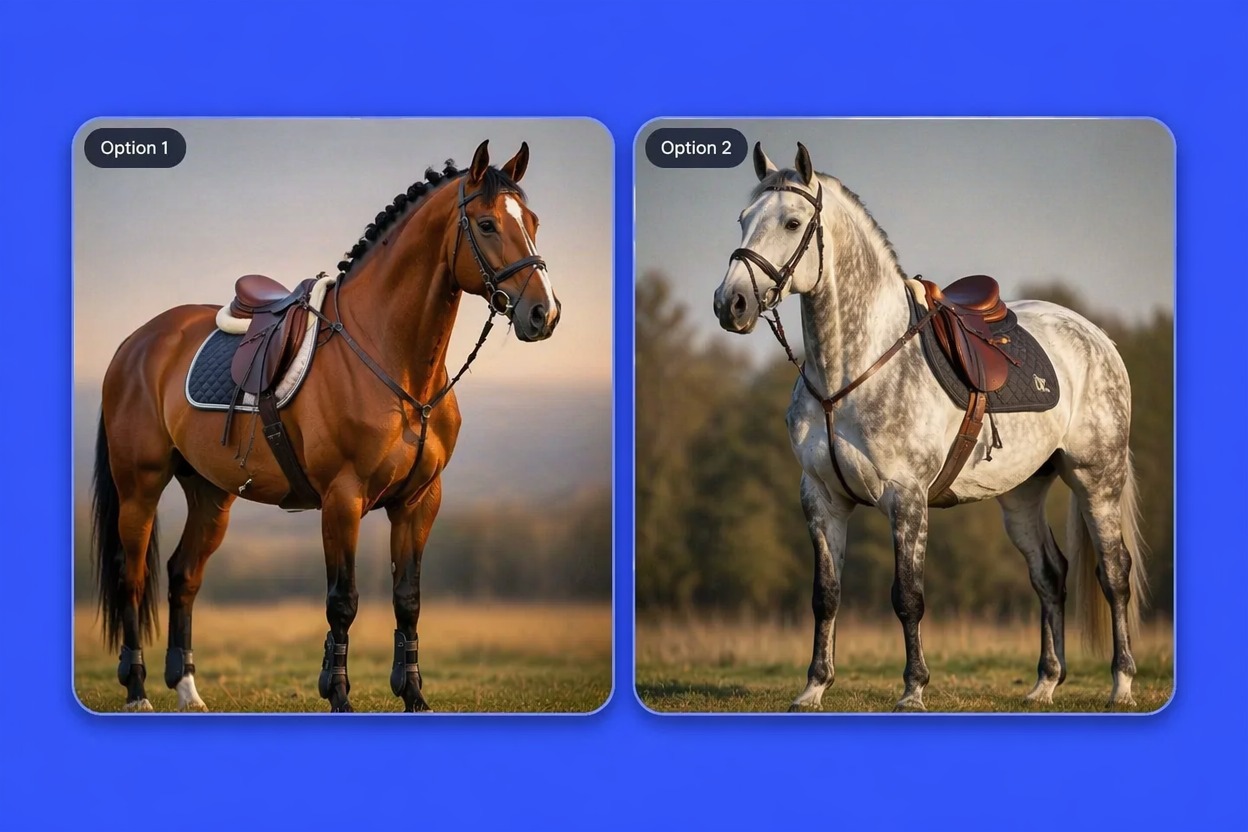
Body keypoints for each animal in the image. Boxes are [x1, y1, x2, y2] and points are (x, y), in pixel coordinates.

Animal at [91, 140, 560, 713]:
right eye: (488, 224)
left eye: (532, 222)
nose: (544, 313)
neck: (390, 357)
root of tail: (136, 343)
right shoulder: (343, 498)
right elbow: (343, 601)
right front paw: (337, 693)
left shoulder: (420, 501)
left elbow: (408, 600)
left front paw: (414, 694)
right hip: (139, 487)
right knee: (132, 577)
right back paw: (137, 689)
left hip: (211, 493)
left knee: (184, 575)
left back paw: (187, 688)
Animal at [712, 142, 1147, 711]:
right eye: (743, 219)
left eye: (792, 222)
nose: (731, 304)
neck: (853, 369)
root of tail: (1097, 338)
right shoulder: (821, 499)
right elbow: (825, 596)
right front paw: (813, 687)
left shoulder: (907, 498)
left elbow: (908, 596)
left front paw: (913, 689)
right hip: (1022, 495)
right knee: (1049, 575)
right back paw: (1044, 685)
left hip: (1097, 479)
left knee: (1113, 574)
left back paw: (1122, 684)